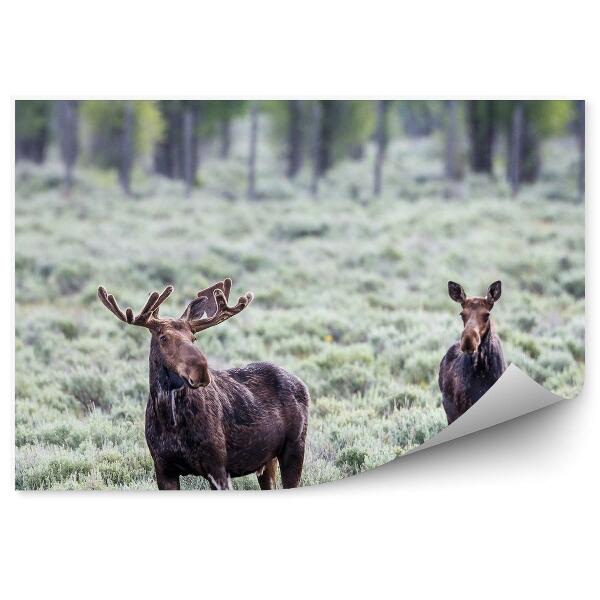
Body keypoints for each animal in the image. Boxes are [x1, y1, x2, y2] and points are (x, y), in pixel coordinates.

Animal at [98, 278, 310, 490]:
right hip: (267, 460)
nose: (200, 370)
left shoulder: (217, 466)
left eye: (194, 337)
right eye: (163, 337)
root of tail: (303, 385)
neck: (170, 421)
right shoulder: (162, 467)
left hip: (295, 447)